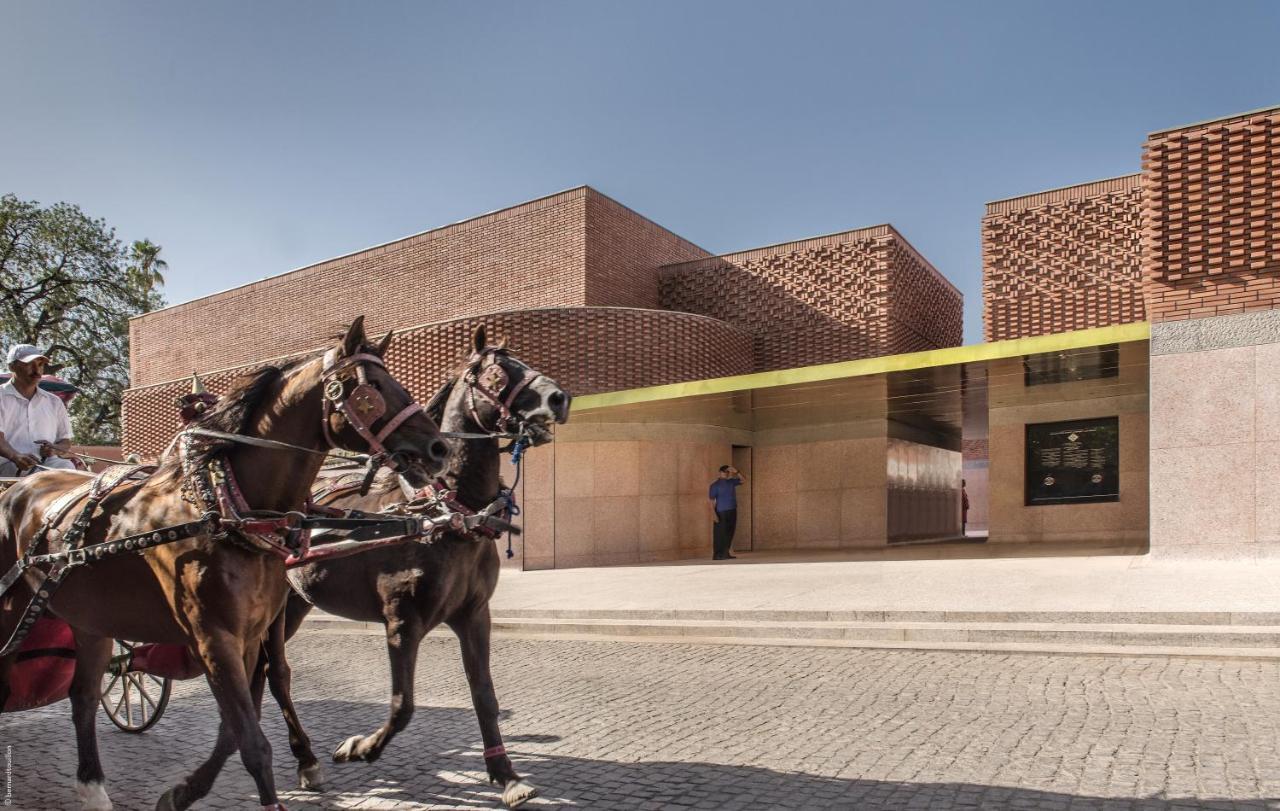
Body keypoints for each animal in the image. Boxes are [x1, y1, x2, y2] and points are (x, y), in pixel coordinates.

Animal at [0, 317, 450, 808]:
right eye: (371, 388)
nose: (439, 447)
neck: (224, 509)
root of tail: (22, 484)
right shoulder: (212, 637)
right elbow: (252, 740)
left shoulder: (249, 634)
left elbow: (240, 724)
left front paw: (184, 790)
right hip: (13, 610)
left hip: (90, 619)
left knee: (83, 696)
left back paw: (94, 787)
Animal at [262, 324, 568, 803]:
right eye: (498, 373)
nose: (558, 398)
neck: (447, 515)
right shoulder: (402, 621)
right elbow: (402, 704)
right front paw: (362, 746)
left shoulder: (474, 614)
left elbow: (484, 695)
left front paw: (505, 772)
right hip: (272, 607)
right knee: (277, 674)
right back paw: (303, 757)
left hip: (295, 603)